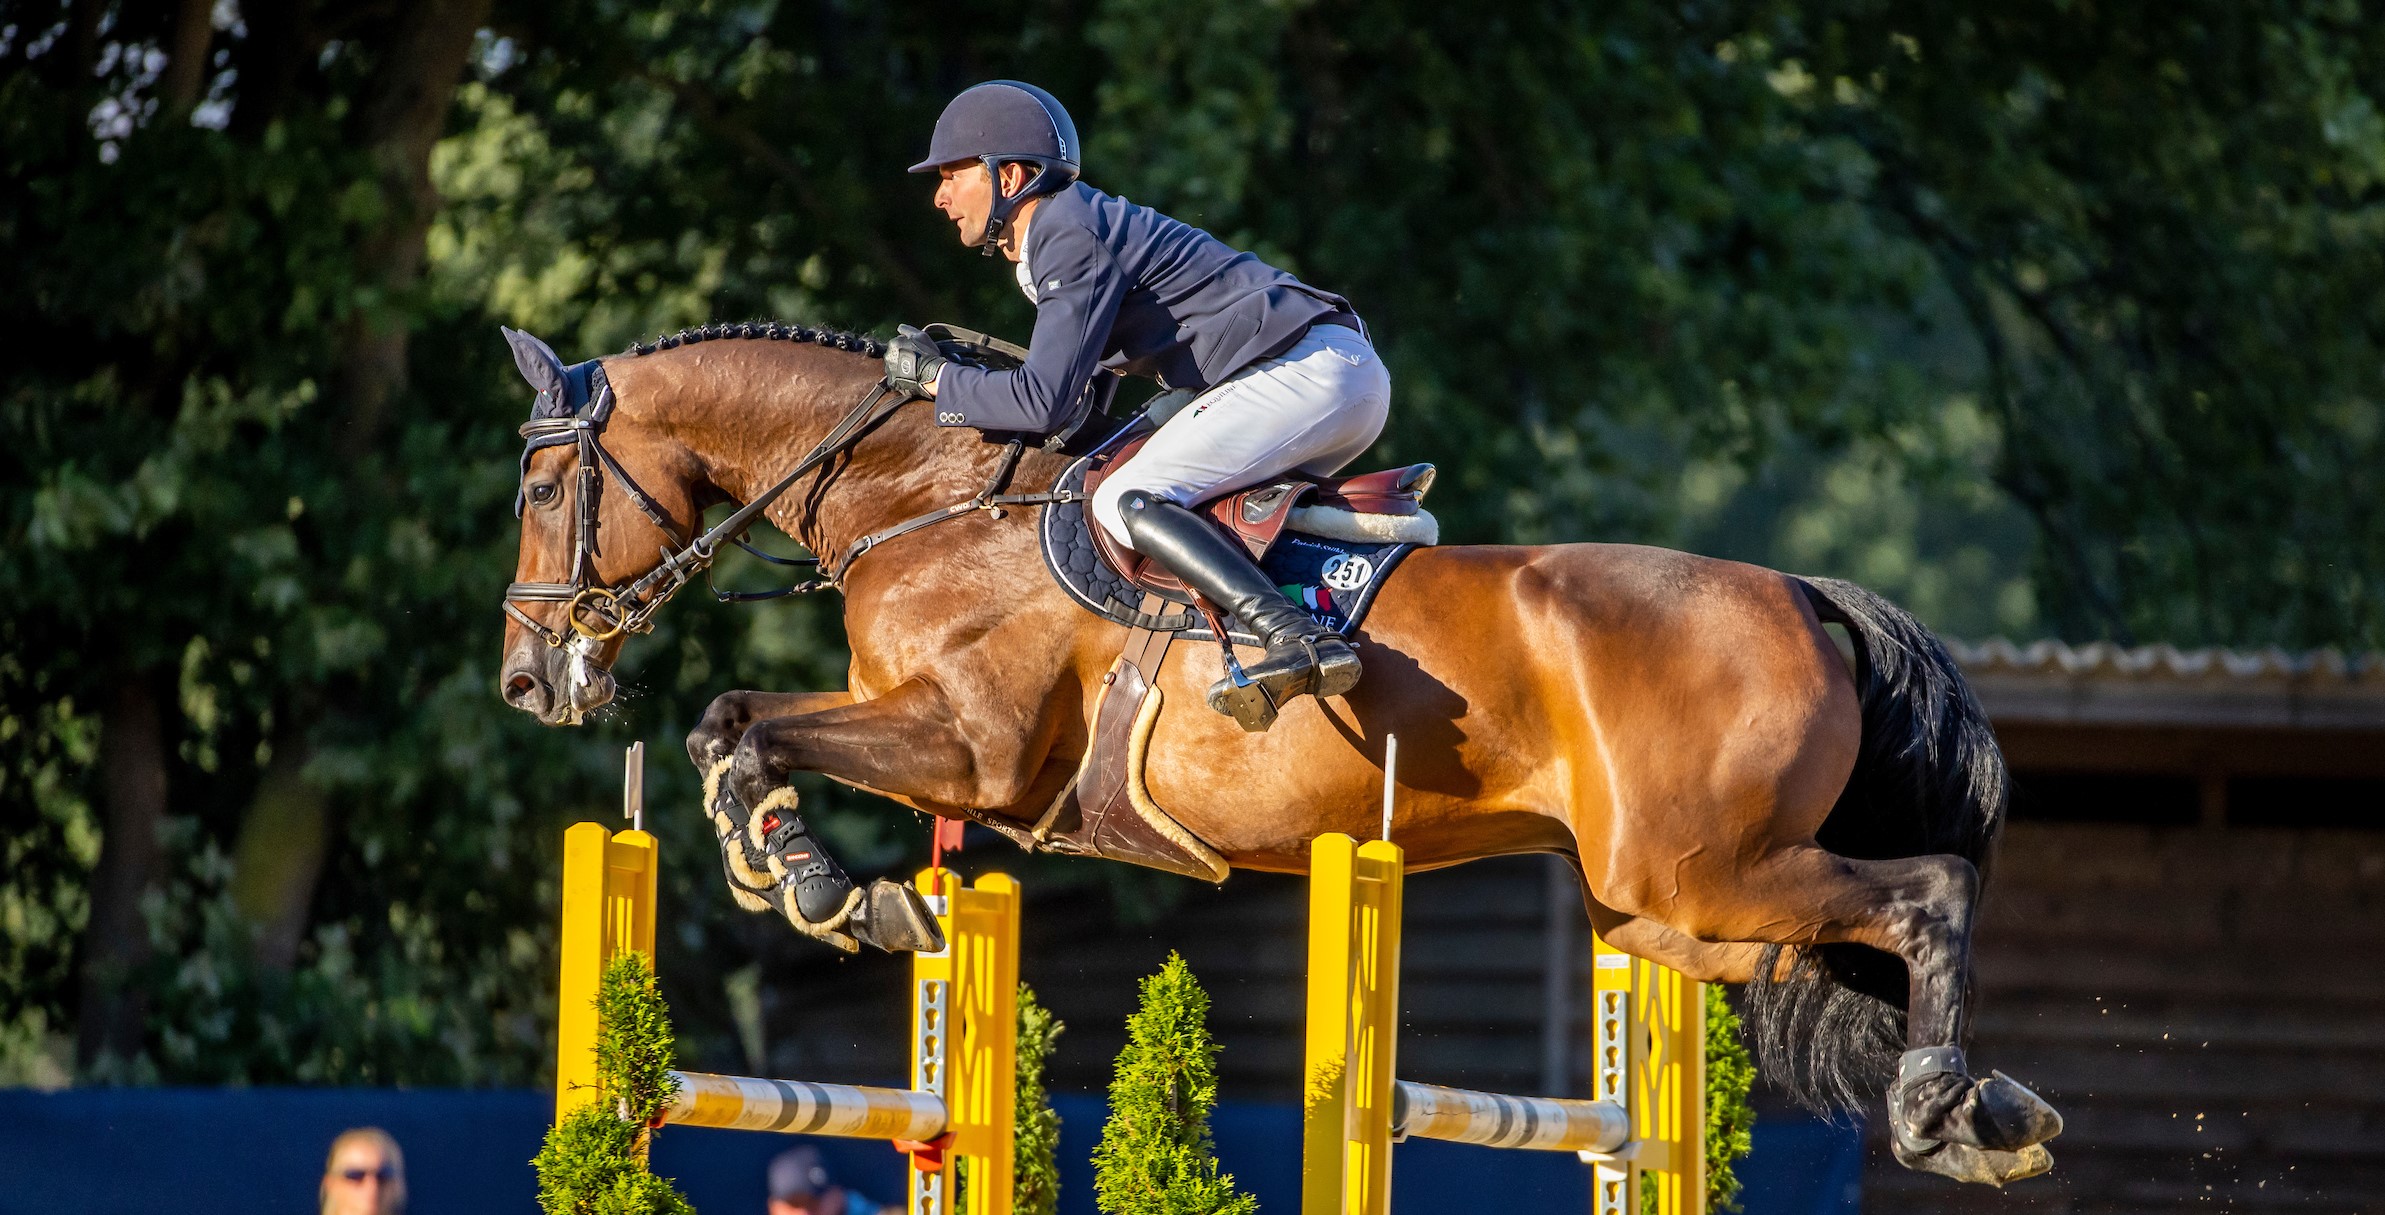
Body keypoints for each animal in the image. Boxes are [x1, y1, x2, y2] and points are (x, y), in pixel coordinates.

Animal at [498, 322, 2070, 1183]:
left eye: (542, 485)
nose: (530, 675)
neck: (923, 495)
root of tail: (1797, 592)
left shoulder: (969, 753)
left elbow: (741, 723)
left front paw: (821, 886)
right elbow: (739, 726)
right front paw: (845, 890)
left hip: (1702, 867)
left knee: (1927, 892)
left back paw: (1940, 1105)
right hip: (1665, 909)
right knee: (1839, 942)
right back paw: (1989, 1106)